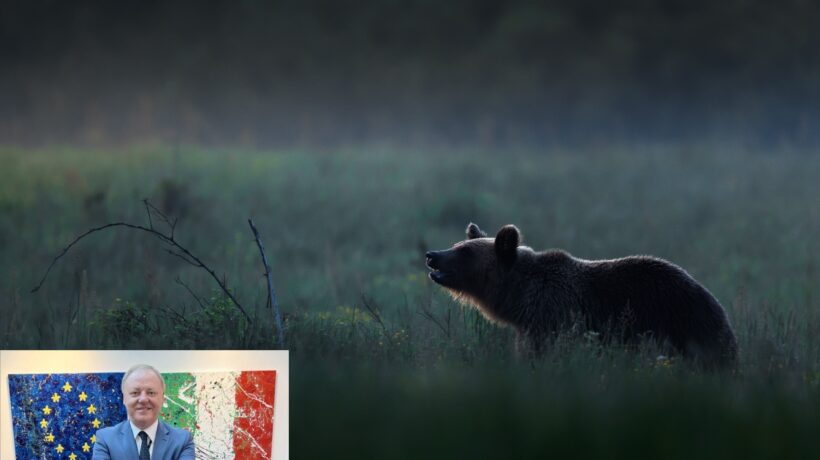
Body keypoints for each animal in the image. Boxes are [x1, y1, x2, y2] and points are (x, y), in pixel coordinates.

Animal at [425, 223, 738, 367]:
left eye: (464, 251)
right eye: (457, 244)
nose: (432, 255)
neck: (521, 297)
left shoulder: (552, 318)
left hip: (677, 323)